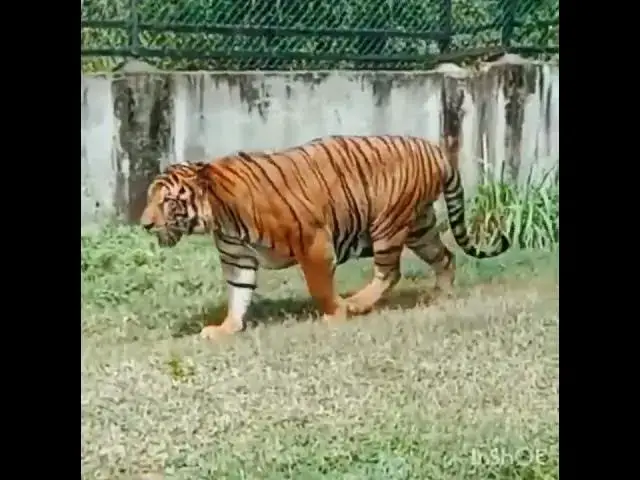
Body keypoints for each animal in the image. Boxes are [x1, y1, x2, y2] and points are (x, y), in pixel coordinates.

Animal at [141, 125, 510, 342]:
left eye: (167, 201)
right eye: (149, 199)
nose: (144, 224)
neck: (219, 216)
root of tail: (436, 150)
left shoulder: (313, 242)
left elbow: (320, 287)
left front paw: (336, 314)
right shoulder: (238, 257)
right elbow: (238, 295)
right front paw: (226, 328)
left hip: (388, 223)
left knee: (390, 271)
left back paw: (357, 303)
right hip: (420, 226)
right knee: (445, 257)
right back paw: (440, 295)